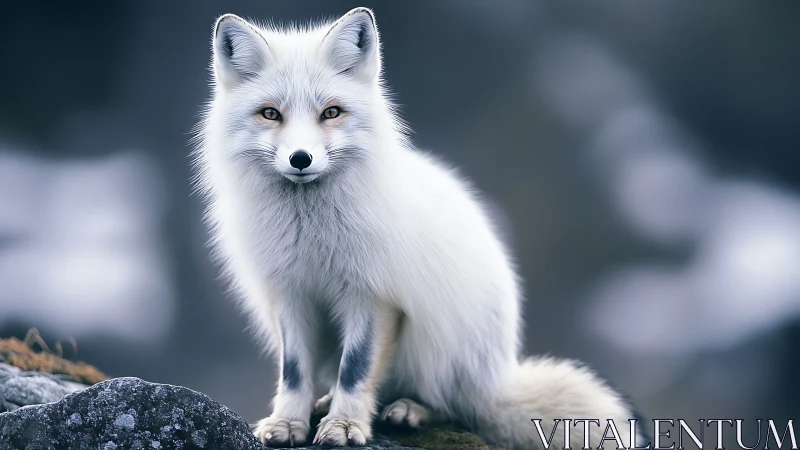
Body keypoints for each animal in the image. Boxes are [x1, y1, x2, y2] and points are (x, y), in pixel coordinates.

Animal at [192, 7, 646, 450]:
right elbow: (293, 372)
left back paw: (408, 409)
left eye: (331, 112)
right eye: (271, 113)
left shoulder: (375, 295)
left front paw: (344, 426)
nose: (300, 159)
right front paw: (289, 423)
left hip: (439, 345)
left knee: (454, 408)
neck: (311, 232)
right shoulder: (290, 293)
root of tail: (496, 382)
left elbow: (356, 370)